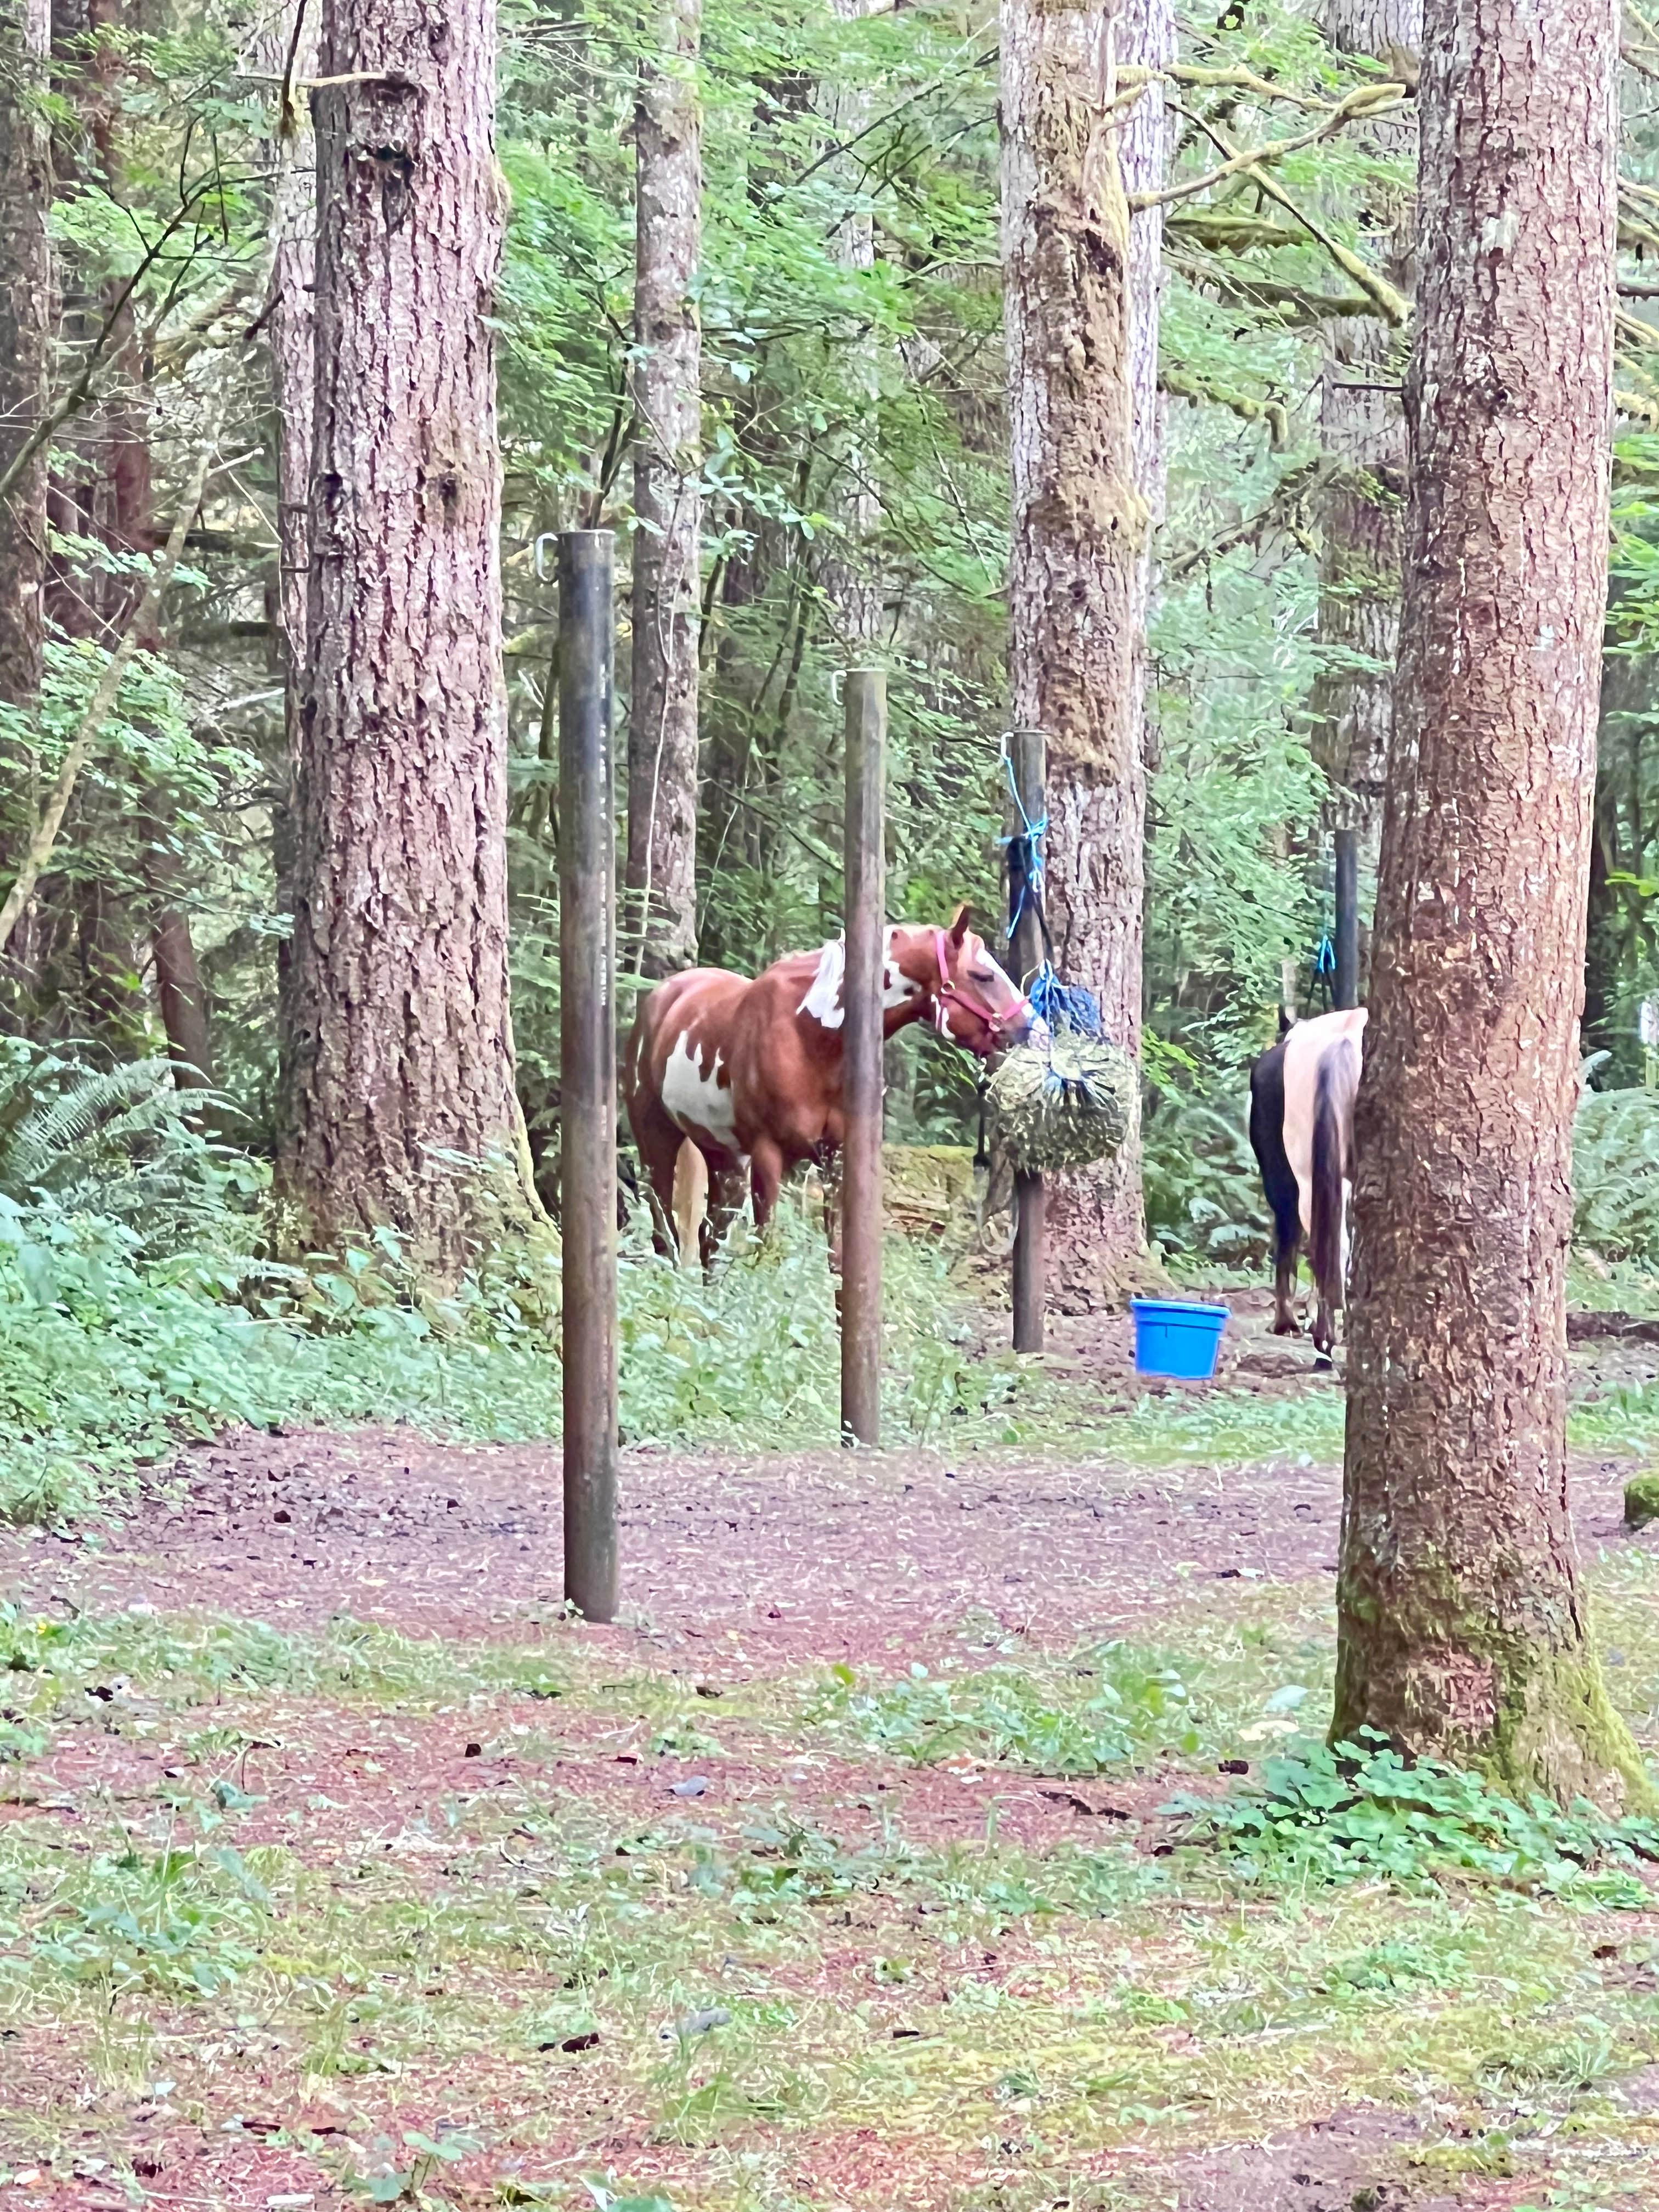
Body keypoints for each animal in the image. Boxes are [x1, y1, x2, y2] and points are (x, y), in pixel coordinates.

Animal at [624, 907, 1039, 1268]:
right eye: (982, 976)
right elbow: (767, 1252)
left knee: (710, 1240)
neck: (812, 1039)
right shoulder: (768, 1155)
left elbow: (837, 1259)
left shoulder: (836, 1157)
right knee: (665, 1233)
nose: (1035, 1030)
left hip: (725, 1159)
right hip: (657, 1140)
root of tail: (662, 997)